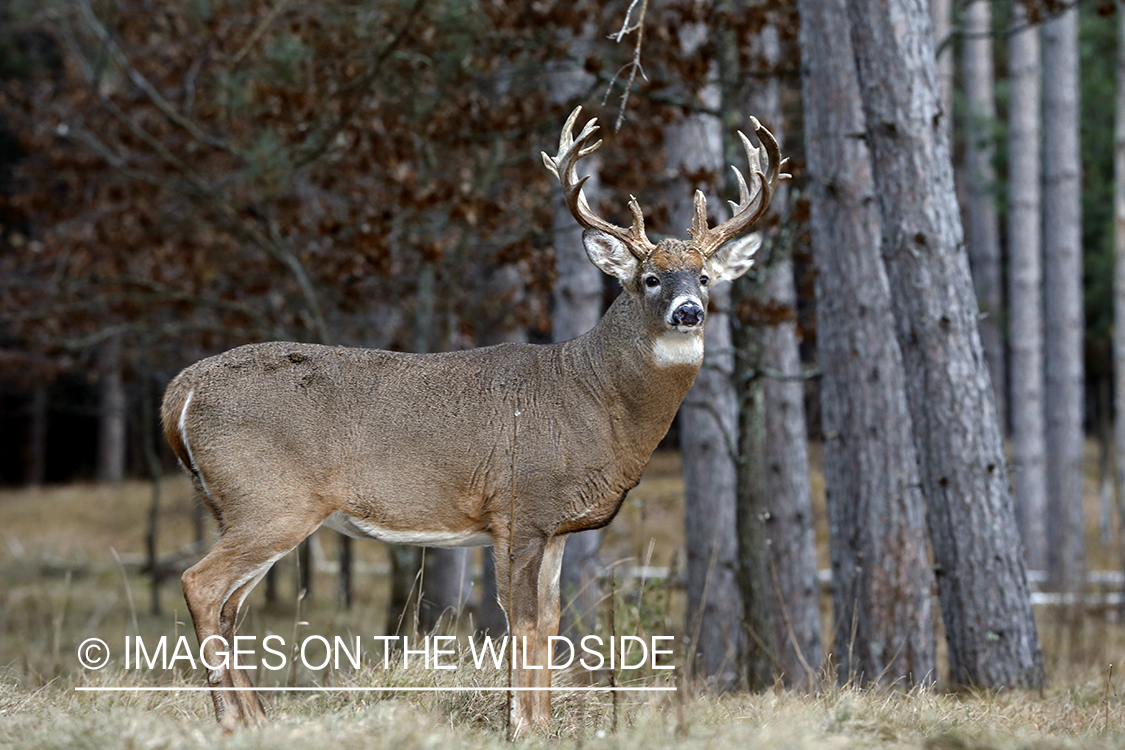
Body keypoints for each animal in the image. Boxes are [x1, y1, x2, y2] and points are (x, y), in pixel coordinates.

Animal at [163, 108, 787, 737]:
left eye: (704, 277)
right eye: (650, 278)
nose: (690, 312)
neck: (594, 399)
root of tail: (180, 391)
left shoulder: (556, 526)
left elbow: (551, 623)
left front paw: (540, 725)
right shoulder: (520, 506)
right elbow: (524, 623)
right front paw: (523, 727)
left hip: (237, 505)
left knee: (230, 605)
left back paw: (257, 719)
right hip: (270, 498)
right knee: (201, 585)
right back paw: (231, 720)